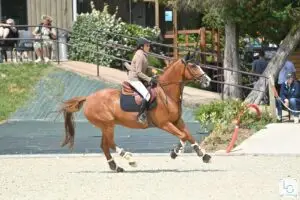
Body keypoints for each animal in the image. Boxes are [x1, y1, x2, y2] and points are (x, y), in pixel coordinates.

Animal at [59, 51, 212, 172]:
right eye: (193, 66)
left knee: (104, 145)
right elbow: (183, 136)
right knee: (110, 143)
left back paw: (116, 167)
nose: (208, 80)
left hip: (105, 126)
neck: (167, 93)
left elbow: (189, 135)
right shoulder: (165, 124)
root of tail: (88, 98)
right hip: (108, 124)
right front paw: (175, 152)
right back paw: (129, 158)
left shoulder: (177, 120)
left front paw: (204, 155)